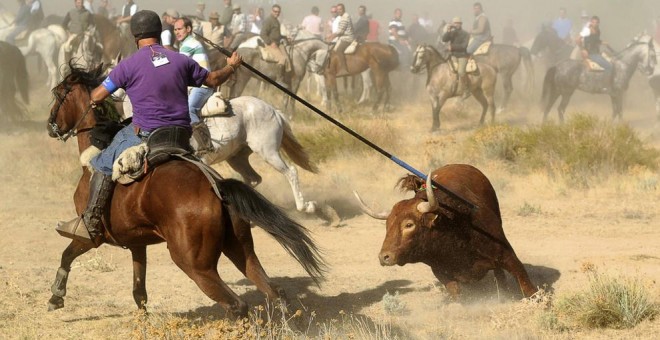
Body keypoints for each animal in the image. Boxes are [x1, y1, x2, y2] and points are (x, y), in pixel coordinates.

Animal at [45, 63, 326, 316]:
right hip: (241, 242)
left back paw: (306, 205)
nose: (50, 125)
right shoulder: (137, 242)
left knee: (237, 304)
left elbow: (67, 255)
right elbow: (139, 289)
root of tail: (217, 189)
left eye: (59, 94)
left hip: (196, 261)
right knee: (273, 289)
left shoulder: (93, 236)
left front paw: (56, 297)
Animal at [356, 164, 536, 298]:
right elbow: (456, 293)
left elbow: (527, 286)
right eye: (387, 225)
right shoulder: (440, 271)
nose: (384, 257)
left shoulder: (508, 255)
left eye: (409, 225)